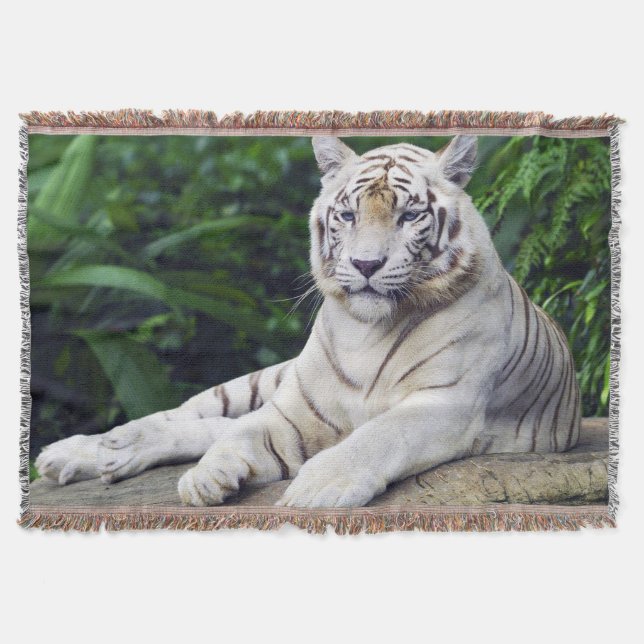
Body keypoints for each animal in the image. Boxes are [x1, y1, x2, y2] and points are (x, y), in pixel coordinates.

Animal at [35, 135, 581, 508]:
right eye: (348, 216)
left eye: (408, 217)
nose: (366, 265)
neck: (368, 330)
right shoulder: (294, 410)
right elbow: (242, 436)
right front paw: (207, 478)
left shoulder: (445, 405)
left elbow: (379, 435)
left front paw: (317, 487)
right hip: (262, 382)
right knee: (192, 416)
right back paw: (92, 449)